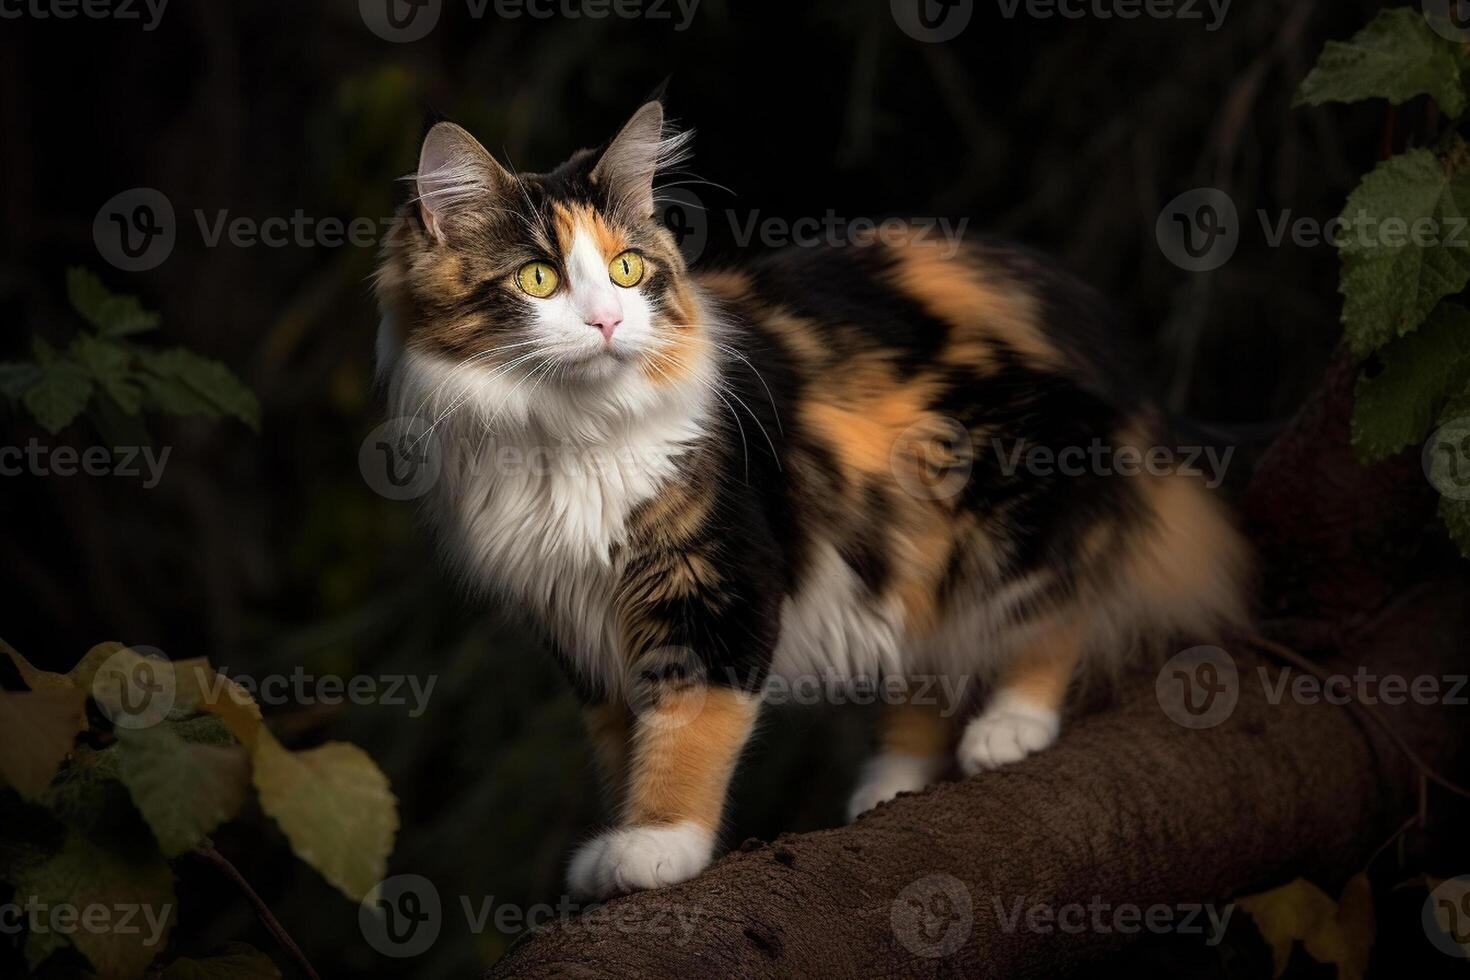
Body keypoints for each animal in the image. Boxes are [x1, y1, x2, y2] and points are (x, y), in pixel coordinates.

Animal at [370, 103, 1252, 899]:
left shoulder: (712, 582)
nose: (610, 321)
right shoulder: (575, 622)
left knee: (1057, 603)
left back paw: (1011, 727)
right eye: (538, 278)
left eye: (627, 270)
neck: (568, 435)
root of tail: (1079, 309)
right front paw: (621, 838)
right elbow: (625, 743)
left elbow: (689, 725)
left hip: (1015, 506)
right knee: (933, 658)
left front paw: (658, 845)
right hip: (915, 545)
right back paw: (895, 780)